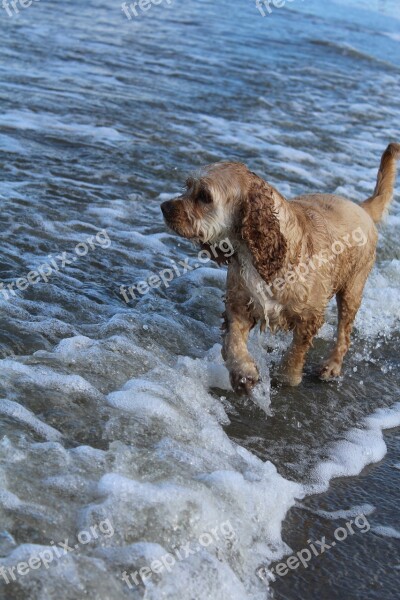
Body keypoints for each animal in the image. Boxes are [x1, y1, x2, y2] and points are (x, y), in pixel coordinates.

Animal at [161, 143, 398, 392]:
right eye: (187, 186)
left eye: (205, 196)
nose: (164, 207)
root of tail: (361, 207)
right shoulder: (238, 304)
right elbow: (234, 341)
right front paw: (243, 372)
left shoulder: (310, 315)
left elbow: (297, 350)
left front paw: (288, 376)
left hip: (352, 290)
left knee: (344, 333)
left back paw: (332, 366)